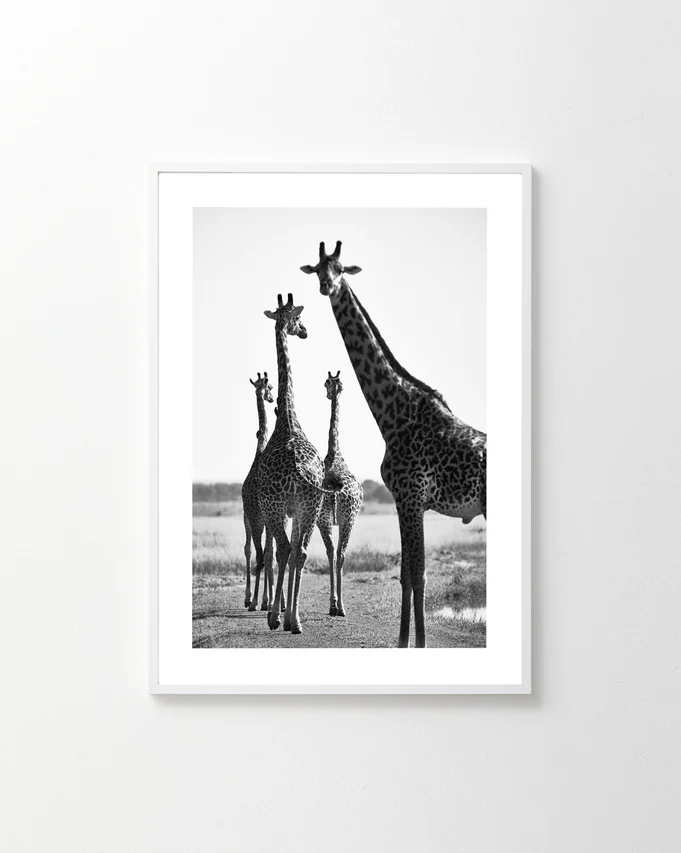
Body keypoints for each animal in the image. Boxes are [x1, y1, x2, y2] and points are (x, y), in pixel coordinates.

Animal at [301, 241, 486, 648]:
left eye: (340, 269)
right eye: (319, 269)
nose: (326, 286)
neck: (395, 414)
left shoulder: (410, 496)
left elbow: (417, 574)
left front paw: (414, 644)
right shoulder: (408, 500)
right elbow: (408, 574)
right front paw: (408, 643)